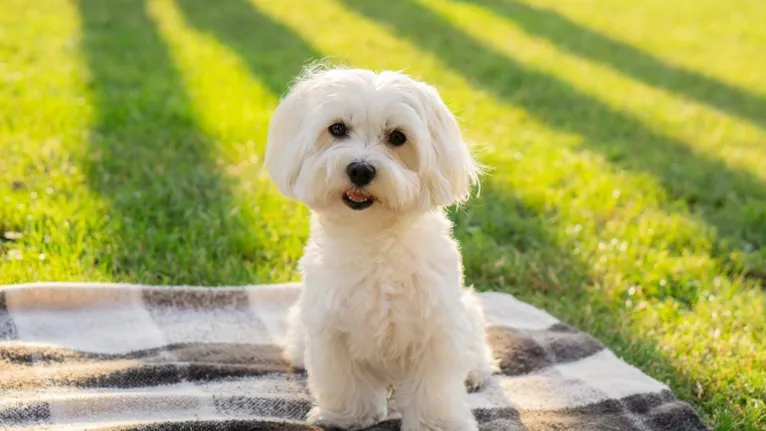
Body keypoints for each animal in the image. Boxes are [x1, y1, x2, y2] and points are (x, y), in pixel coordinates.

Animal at [266, 67, 498, 431]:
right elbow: (344, 380)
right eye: (337, 129)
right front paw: (345, 415)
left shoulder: (436, 326)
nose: (361, 169)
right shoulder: (331, 327)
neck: (372, 237)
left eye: (398, 137)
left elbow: (434, 389)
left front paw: (437, 424)